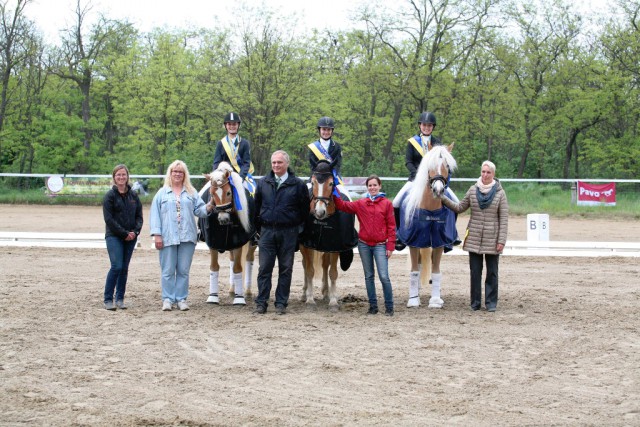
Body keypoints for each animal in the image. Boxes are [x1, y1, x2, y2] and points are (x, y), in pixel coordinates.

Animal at [199, 162, 256, 306]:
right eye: (212, 194)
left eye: (229, 192)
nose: (223, 219)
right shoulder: (212, 243)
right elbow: (214, 267)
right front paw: (213, 297)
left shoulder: (239, 243)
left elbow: (238, 268)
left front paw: (239, 299)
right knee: (232, 260)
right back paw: (232, 290)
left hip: (251, 243)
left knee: (249, 260)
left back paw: (247, 292)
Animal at [298, 160, 358, 310]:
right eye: (313, 183)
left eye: (331, 183)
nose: (320, 211)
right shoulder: (307, 245)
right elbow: (310, 270)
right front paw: (310, 299)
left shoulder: (334, 245)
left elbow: (333, 273)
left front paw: (333, 301)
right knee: (305, 265)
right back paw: (304, 294)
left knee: (325, 265)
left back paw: (326, 293)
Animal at [398, 145, 458, 310]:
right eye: (429, 167)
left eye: (447, 166)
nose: (438, 190)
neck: (430, 208)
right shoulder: (414, 240)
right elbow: (414, 270)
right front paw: (413, 300)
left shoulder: (439, 241)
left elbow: (436, 271)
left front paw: (435, 301)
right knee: (418, 265)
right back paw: (416, 292)